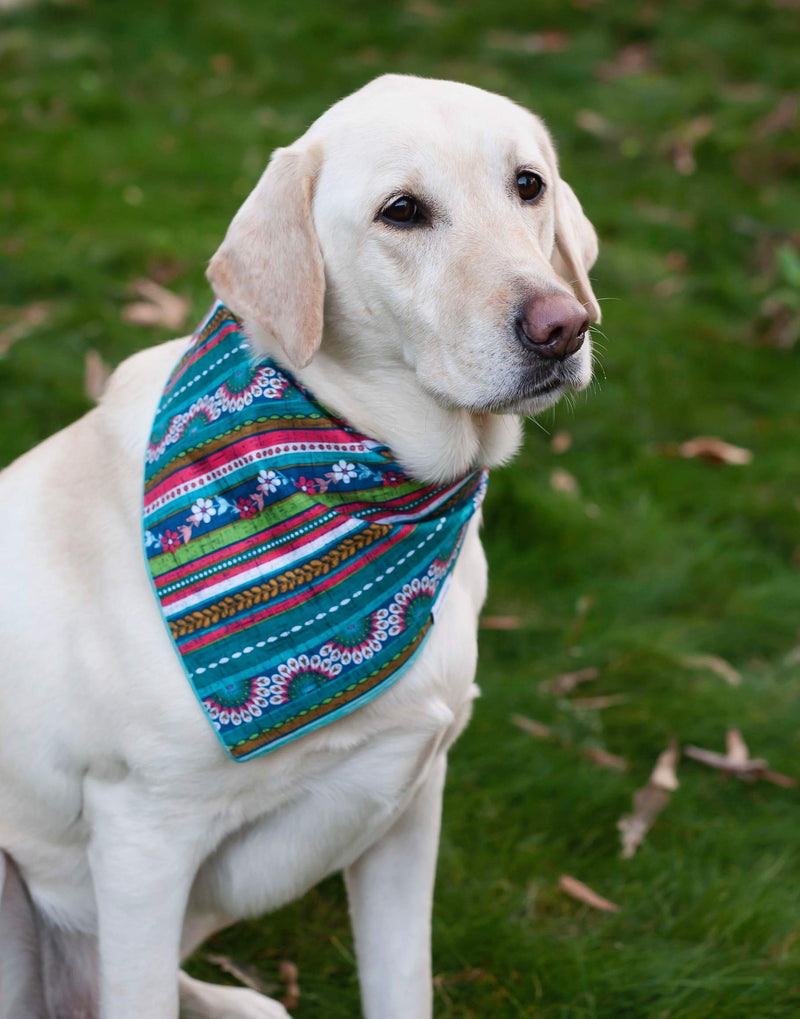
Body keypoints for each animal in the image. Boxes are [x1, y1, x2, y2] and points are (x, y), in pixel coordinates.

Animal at [0, 73, 599, 1019]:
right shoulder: (142, 838)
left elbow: (403, 985)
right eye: (402, 210)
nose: (562, 327)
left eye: (528, 185)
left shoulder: (410, 803)